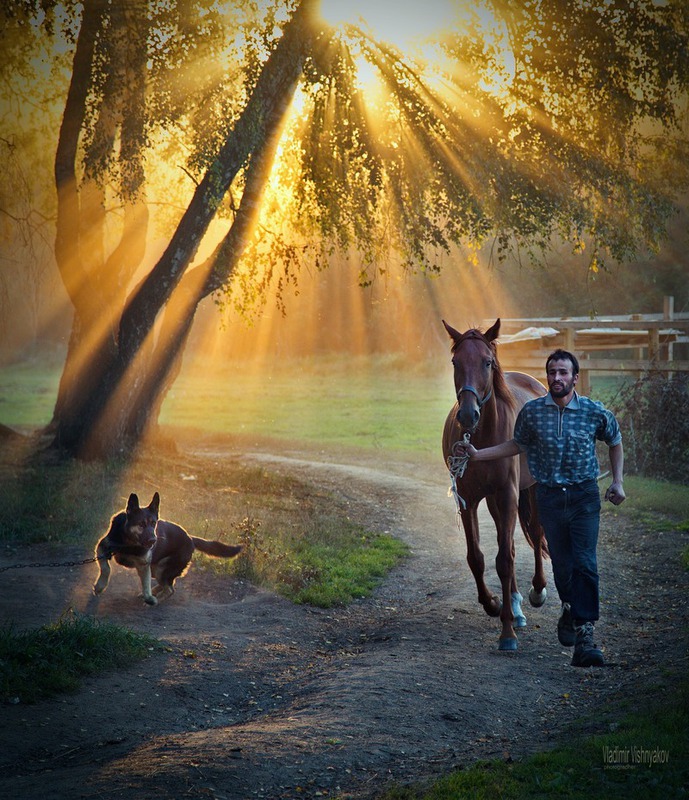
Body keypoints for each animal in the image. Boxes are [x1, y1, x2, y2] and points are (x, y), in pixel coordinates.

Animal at [92, 490, 241, 604]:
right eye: (141, 524)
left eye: (154, 523)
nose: (153, 540)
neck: (129, 543)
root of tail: (190, 539)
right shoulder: (102, 548)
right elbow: (106, 569)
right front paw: (100, 586)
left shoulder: (143, 565)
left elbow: (146, 584)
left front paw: (149, 597)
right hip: (155, 568)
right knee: (167, 585)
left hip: (160, 569)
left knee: (170, 589)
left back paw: (157, 599)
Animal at [440, 318, 548, 648]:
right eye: (455, 362)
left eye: (487, 362)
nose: (468, 414)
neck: (485, 434)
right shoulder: (468, 499)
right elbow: (477, 557)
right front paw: (493, 604)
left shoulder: (508, 494)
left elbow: (505, 559)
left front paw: (507, 632)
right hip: (494, 501)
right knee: (507, 540)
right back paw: (514, 604)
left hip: (529, 490)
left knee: (535, 533)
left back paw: (537, 591)